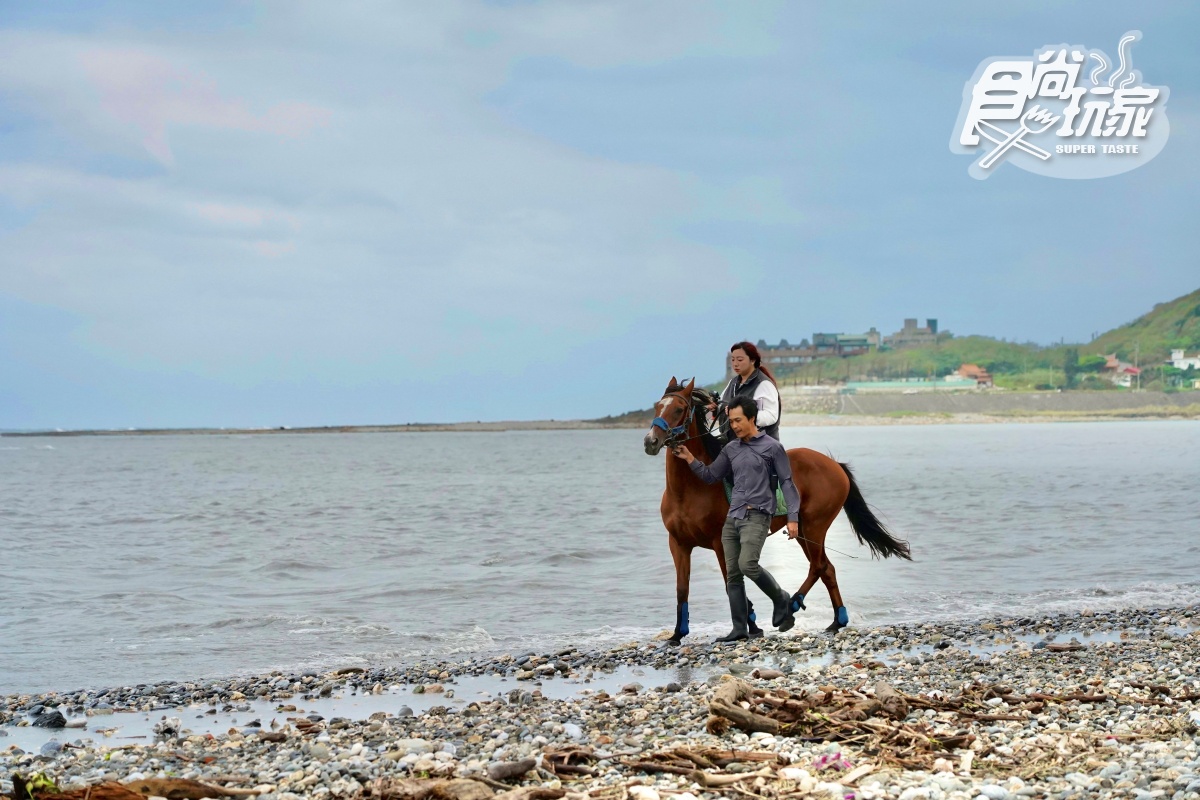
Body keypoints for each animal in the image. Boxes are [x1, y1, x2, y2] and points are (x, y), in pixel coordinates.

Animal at [648, 376, 907, 642]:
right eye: (658, 406)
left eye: (679, 409)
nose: (651, 441)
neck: (690, 488)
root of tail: (834, 464)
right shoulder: (678, 544)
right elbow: (682, 589)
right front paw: (677, 634)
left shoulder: (720, 543)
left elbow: (731, 582)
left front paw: (750, 625)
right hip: (801, 530)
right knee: (827, 568)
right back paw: (837, 621)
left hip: (814, 527)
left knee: (818, 566)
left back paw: (791, 606)